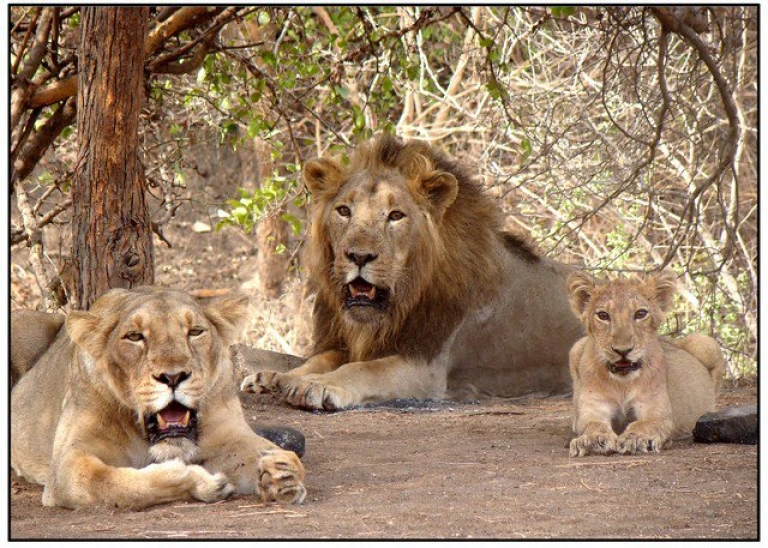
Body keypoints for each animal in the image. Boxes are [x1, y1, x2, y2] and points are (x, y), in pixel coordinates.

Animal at [11, 286, 306, 510]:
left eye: (195, 331)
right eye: (134, 336)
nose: (173, 377)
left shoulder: (229, 435)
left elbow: (274, 454)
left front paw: (282, 472)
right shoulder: (67, 461)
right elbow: (112, 485)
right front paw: (198, 481)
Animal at [243, 136, 584, 412]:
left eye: (396, 216)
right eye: (343, 211)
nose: (359, 256)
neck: (399, 303)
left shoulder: (427, 366)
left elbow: (365, 370)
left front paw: (315, 385)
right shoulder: (349, 343)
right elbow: (318, 359)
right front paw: (275, 377)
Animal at [564, 268, 728, 456]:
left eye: (640, 314)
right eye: (603, 315)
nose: (623, 350)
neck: (622, 384)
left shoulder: (657, 412)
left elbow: (644, 424)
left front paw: (637, 438)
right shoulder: (594, 408)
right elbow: (592, 424)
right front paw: (593, 440)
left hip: (706, 342)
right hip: (576, 347)